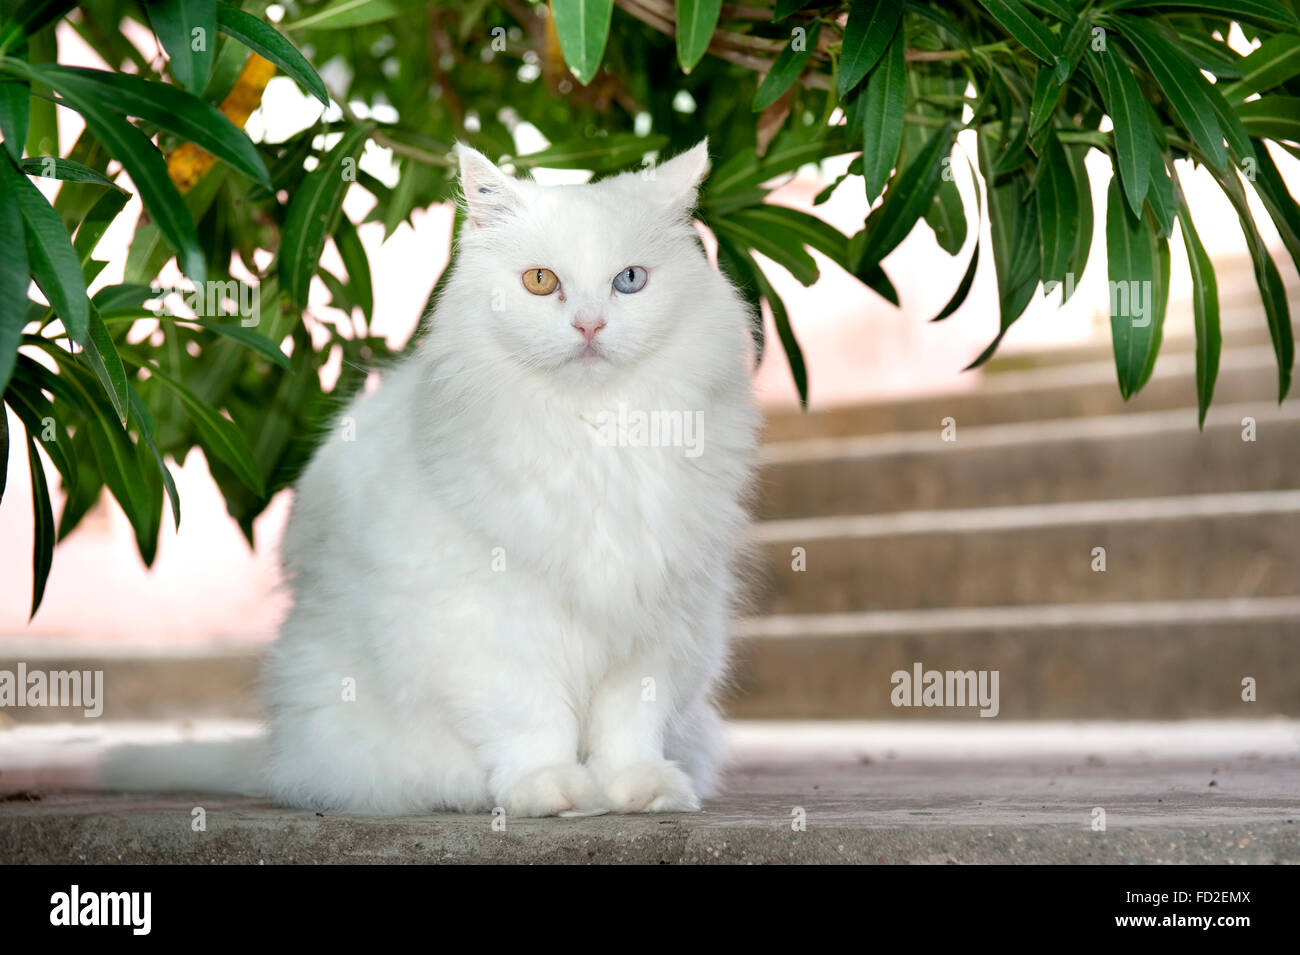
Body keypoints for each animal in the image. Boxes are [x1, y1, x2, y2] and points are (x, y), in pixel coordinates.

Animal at [253, 141, 759, 815]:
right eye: (541, 282)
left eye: (629, 280)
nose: (590, 326)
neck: (593, 435)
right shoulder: (492, 624)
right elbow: (532, 718)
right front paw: (553, 791)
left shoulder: (662, 622)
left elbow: (629, 726)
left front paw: (639, 790)